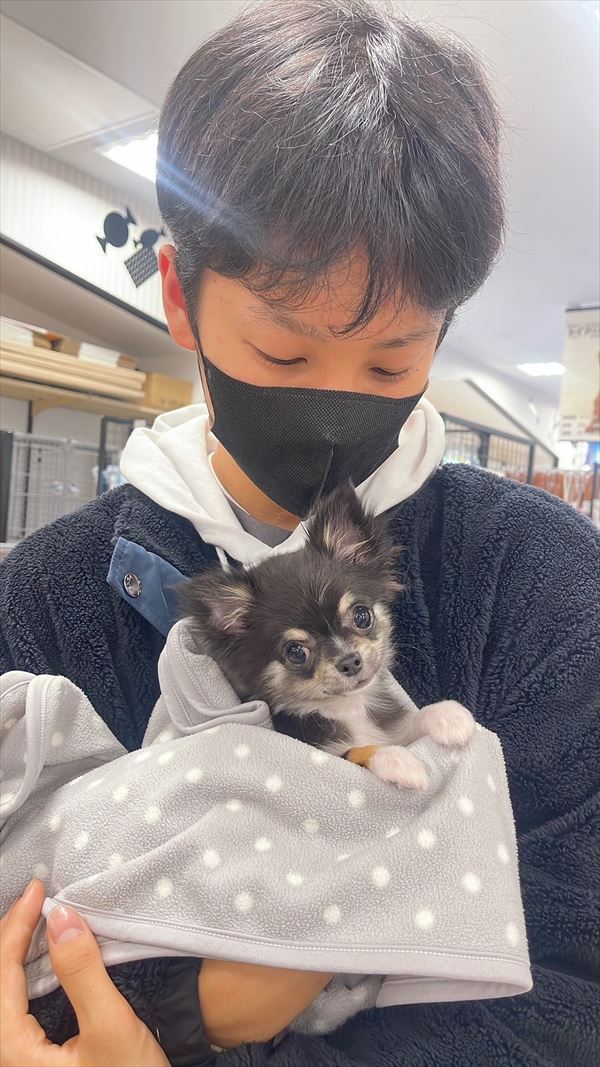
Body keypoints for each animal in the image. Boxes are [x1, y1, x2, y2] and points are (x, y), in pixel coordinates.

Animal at [180, 483, 474, 788]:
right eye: (296, 652)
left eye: (362, 616)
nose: (350, 661)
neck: (350, 708)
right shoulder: (323, 753)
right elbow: (356, 752)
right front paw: (397, 759)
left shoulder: (392, 729)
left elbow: (410, 723)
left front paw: (448, 716)